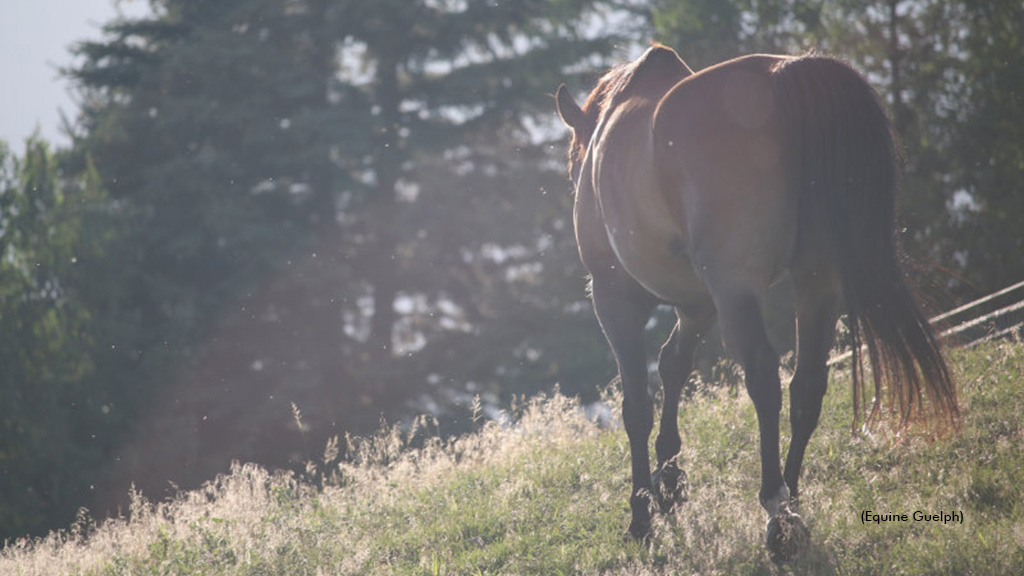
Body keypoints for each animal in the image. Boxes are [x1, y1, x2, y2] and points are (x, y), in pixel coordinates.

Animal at [554, 44, 959, 562]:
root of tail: (787, 75)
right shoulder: (698, 304)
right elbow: (673, 364)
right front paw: (670, 483)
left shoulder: (616, 296)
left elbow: (637, 405)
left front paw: (643, 513)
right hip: (817, 280)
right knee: (807, 384)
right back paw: (792, 497)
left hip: (736, 286)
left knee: (765, 378)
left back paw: (776, 513)